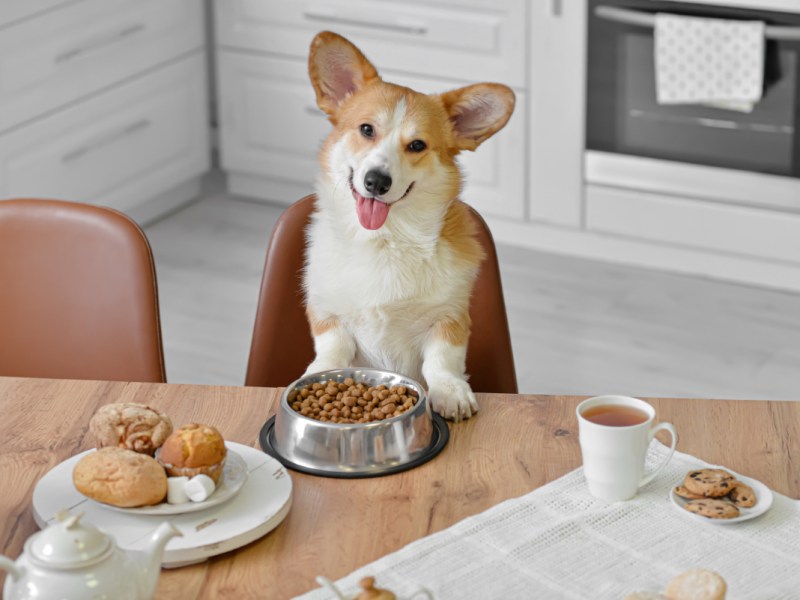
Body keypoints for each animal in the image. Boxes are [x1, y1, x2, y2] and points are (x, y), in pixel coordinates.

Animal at [300, 30, 512, 420]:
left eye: (417, 145)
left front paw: (451, 393)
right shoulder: (327, 312)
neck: (385, 240)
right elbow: (332, 347)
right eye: (366, 129)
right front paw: (315, 373)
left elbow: (441, 361)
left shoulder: (449, 318)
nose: (376, 181)